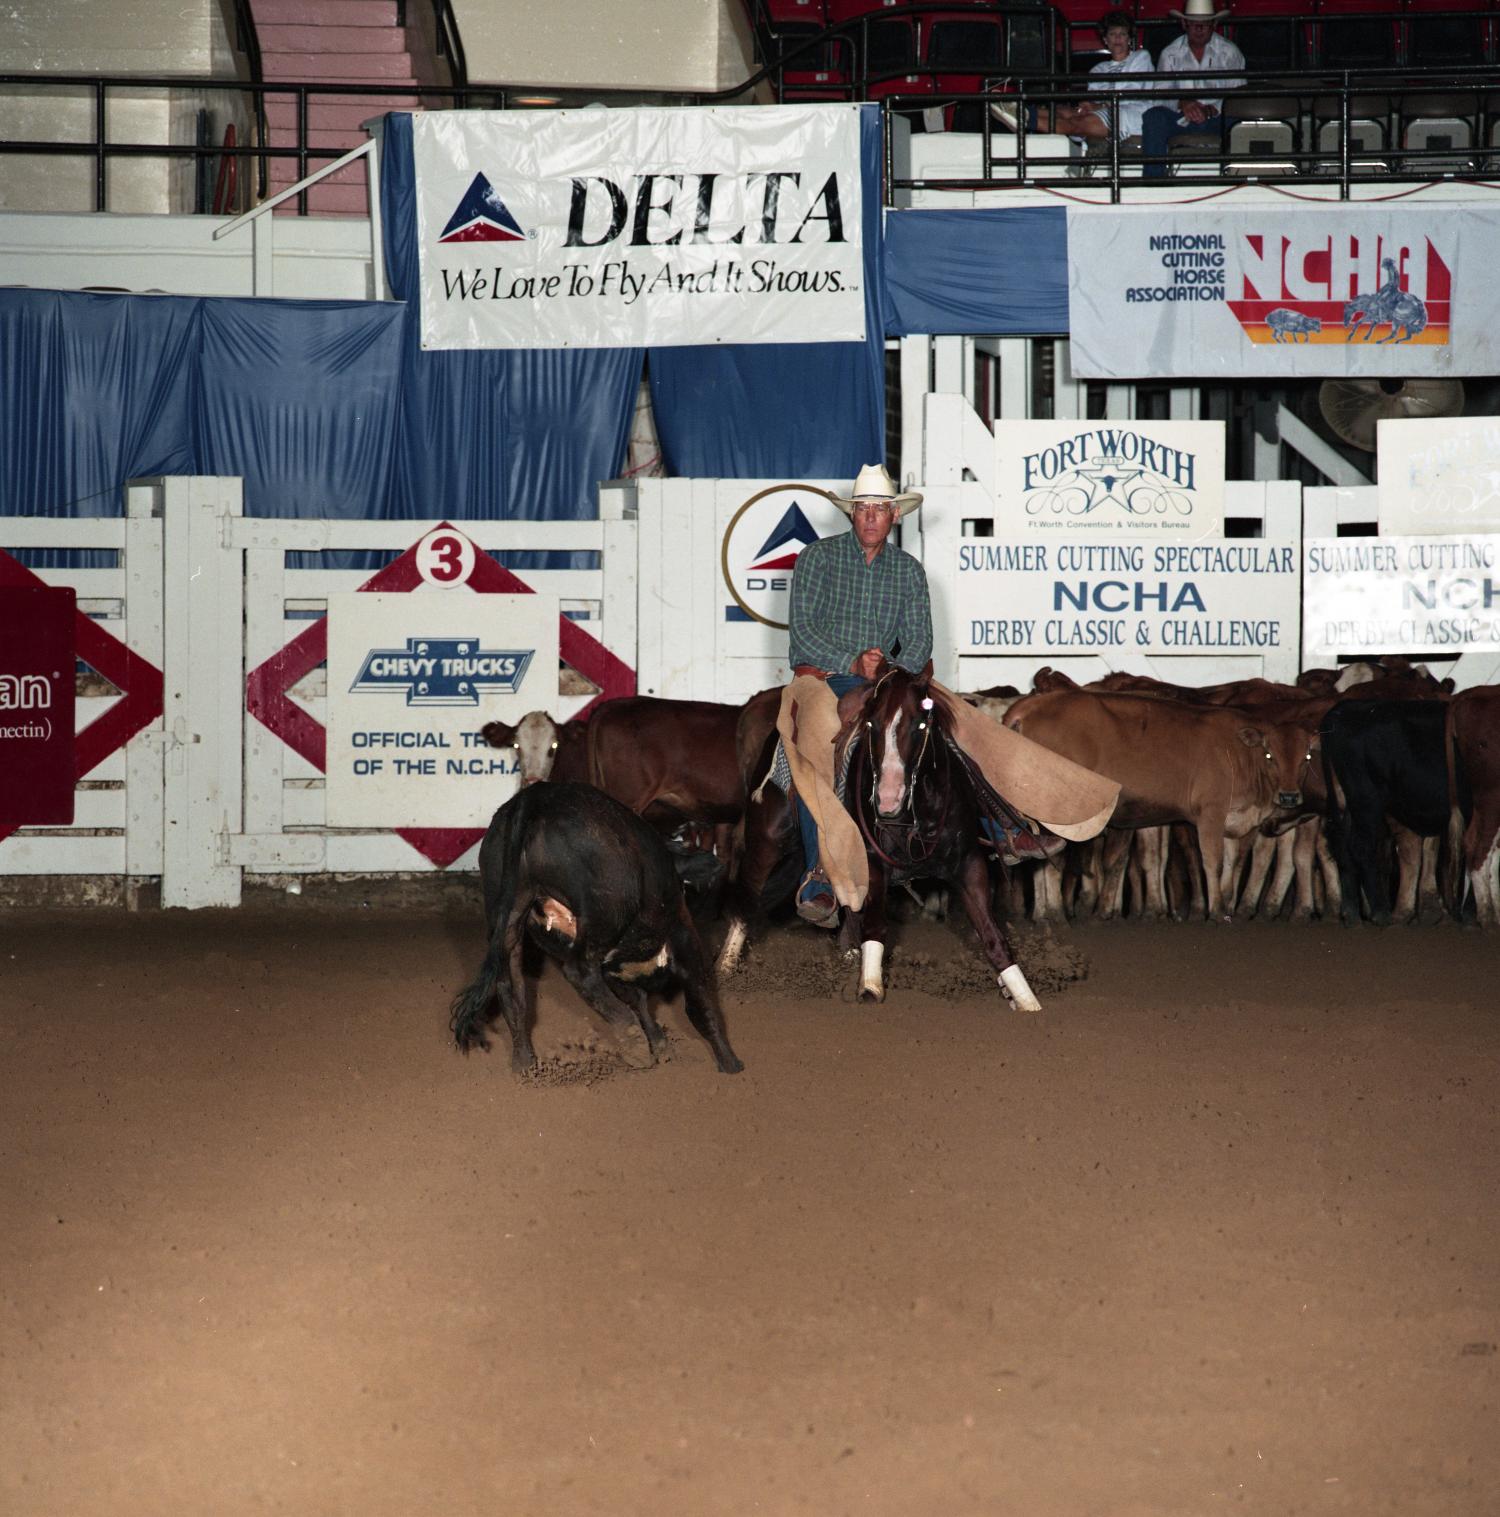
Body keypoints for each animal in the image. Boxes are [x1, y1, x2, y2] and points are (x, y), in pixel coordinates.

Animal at [717, 663, 1045, 1011]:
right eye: (872, 724)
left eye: (921, 723)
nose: (887, 800)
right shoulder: (872, 861)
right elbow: (876, 926)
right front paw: (870, 987)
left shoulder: (969, 864)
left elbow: (991, 934)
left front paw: (1025, 1000)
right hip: (765, 839)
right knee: (747, 898)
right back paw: (725, 966)